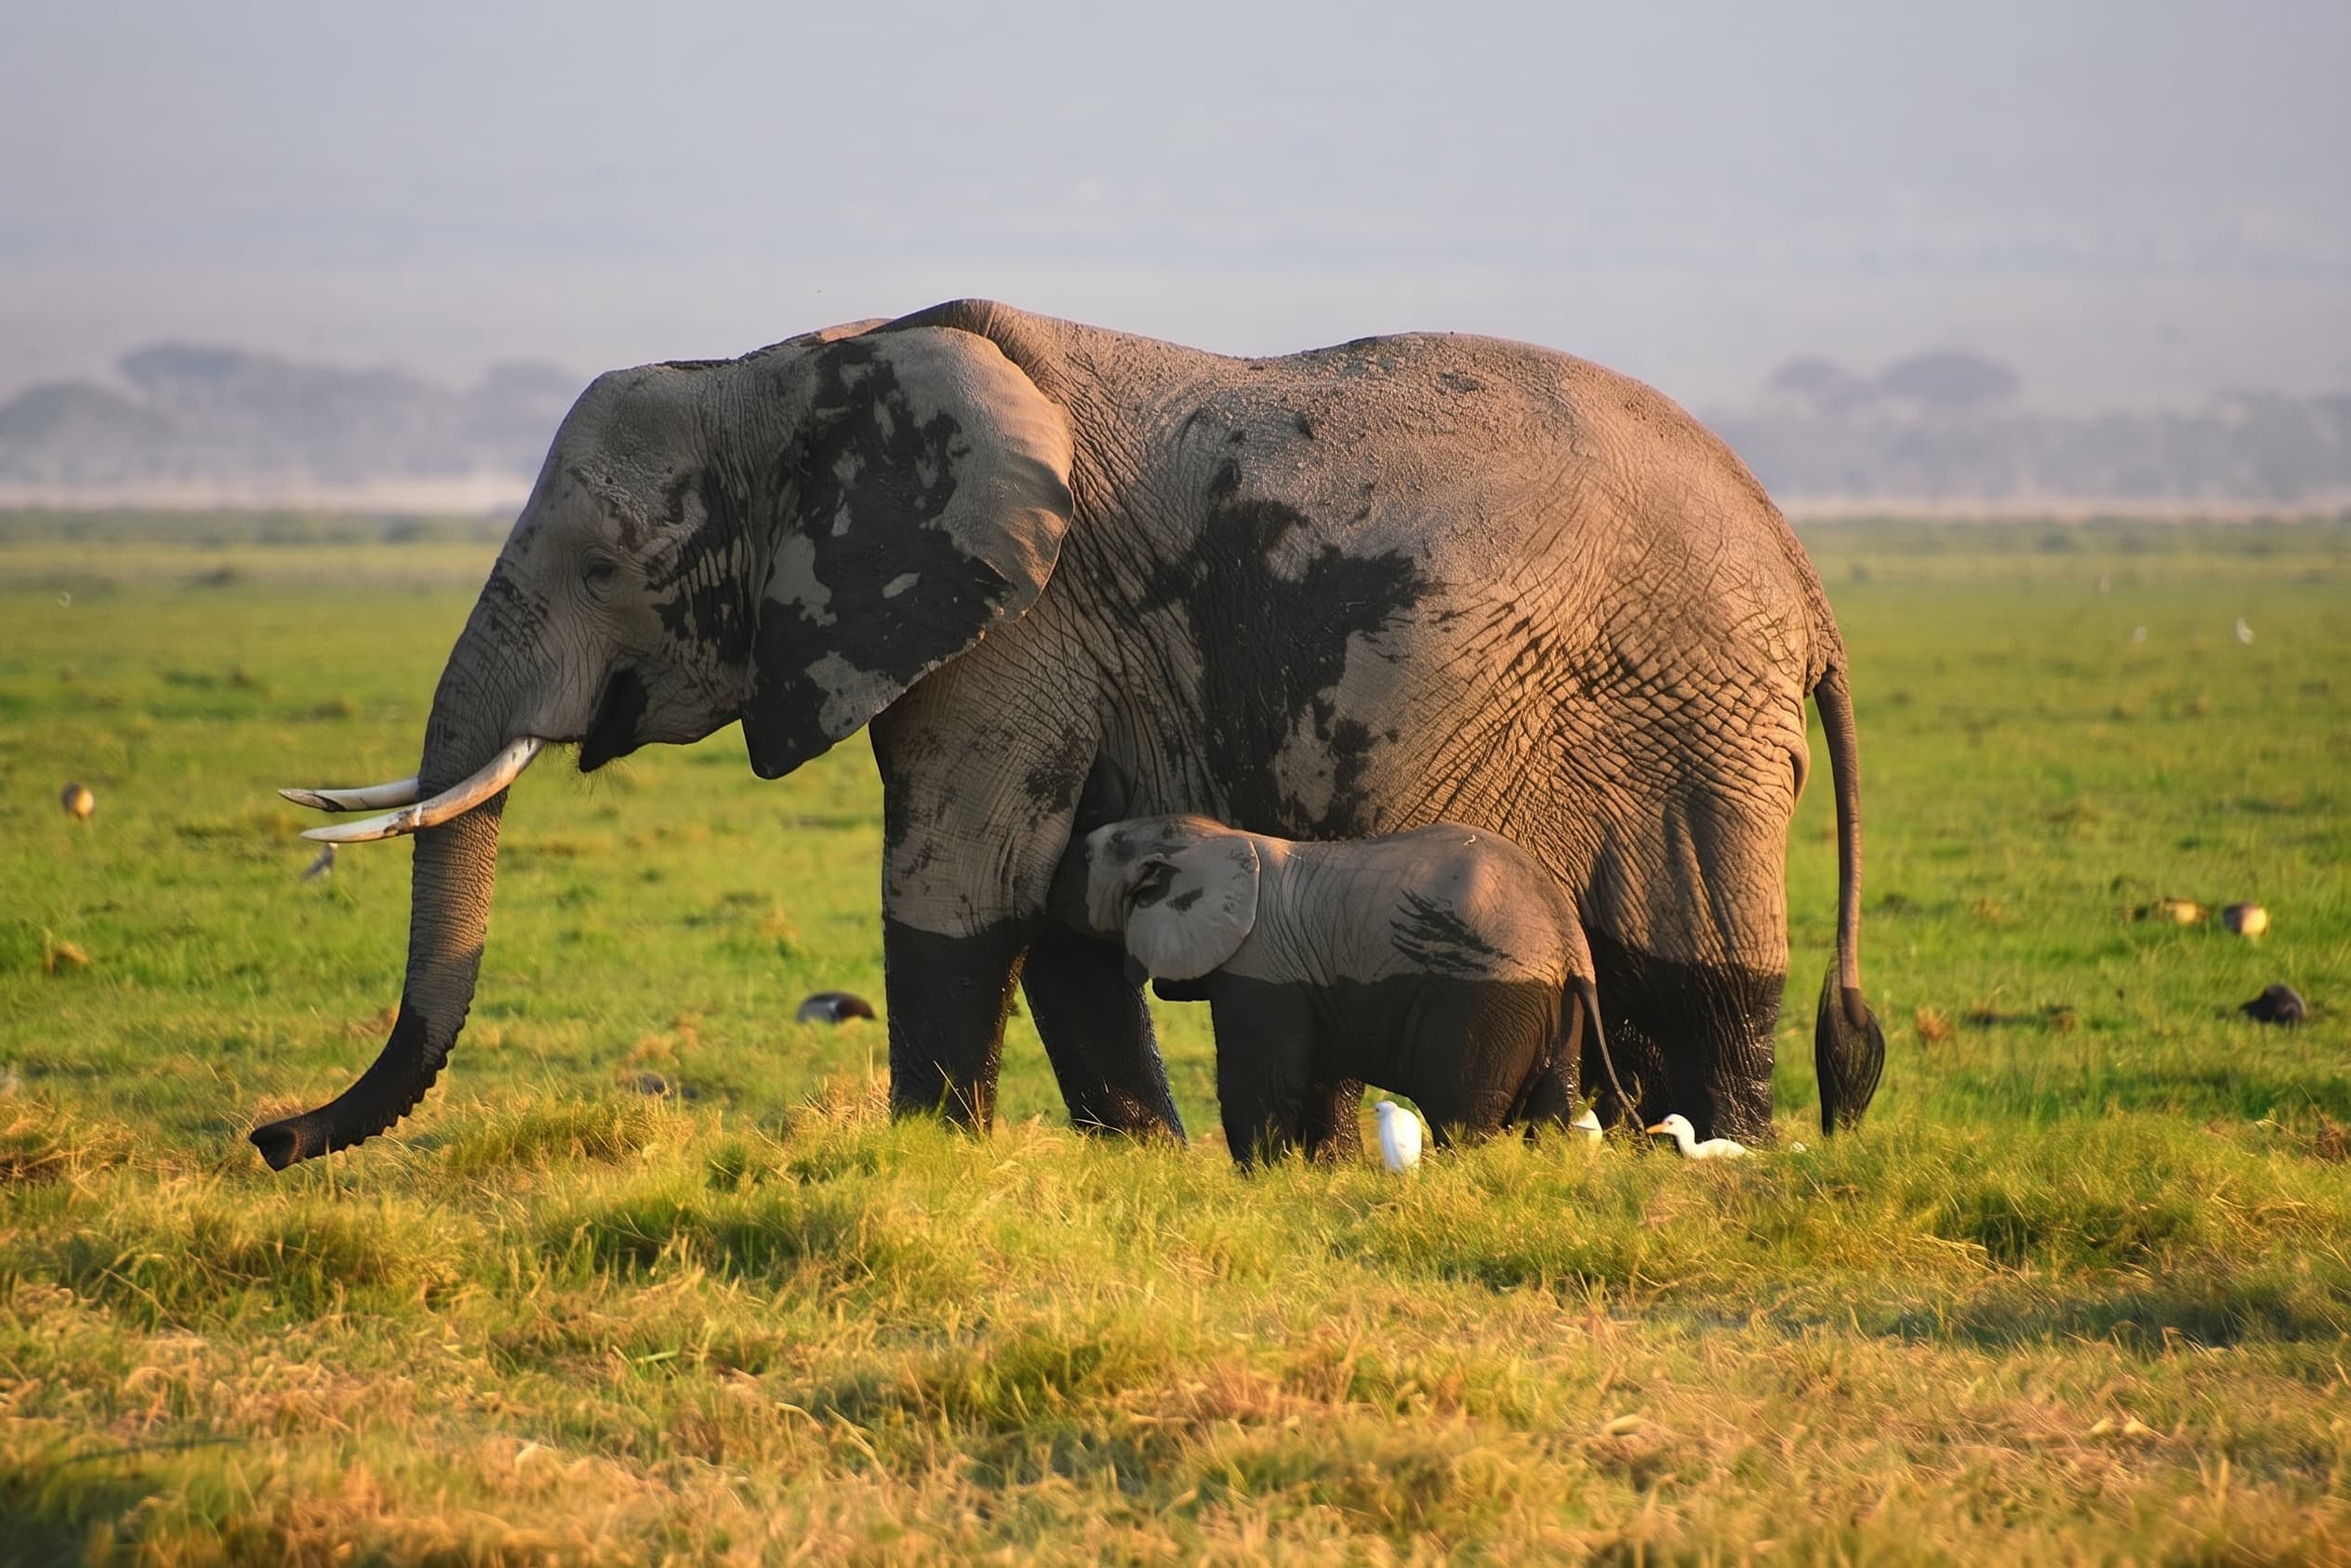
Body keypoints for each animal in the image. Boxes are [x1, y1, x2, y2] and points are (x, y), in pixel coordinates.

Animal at [1051, 814, 1626, 1165]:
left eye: (1085, 859)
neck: (1214, 838)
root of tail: (1568, 939)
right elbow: (1314, 1077)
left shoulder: (1259, 967)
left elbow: (1259, 1082)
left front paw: (1262, 1179)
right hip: (1554, 1006)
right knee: (1550, 1112)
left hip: (1486, 1002)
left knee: (1463, 1118)